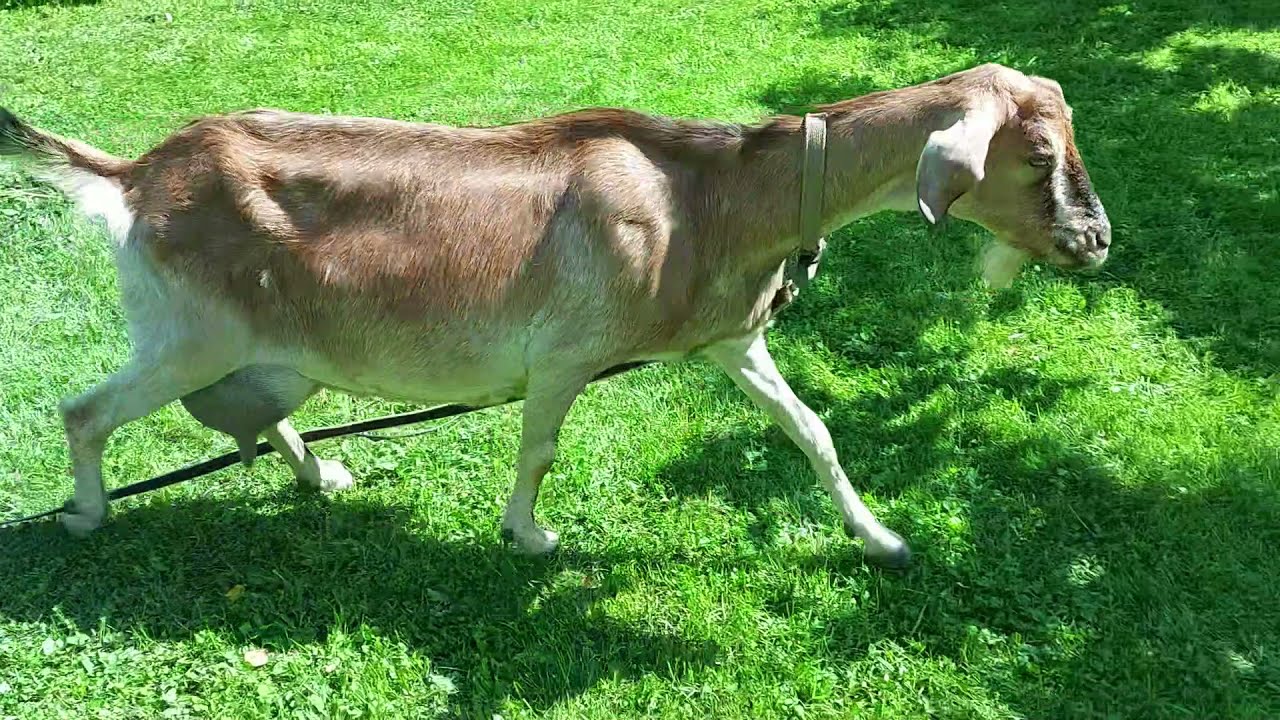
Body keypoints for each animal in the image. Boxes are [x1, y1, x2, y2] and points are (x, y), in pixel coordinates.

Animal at [0, 63, 1110, 569]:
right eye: (1034, 157)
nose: (1094, 242)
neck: (708, 198)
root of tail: (137, 176)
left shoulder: (730, 341)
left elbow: (813, 433)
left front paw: (879, 538)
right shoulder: (568, 353)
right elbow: (539, 447)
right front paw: (529, 536)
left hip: (279, 349)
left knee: (267, 415)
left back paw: (322, 474)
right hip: (191, 335)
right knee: (84, 412)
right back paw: (88, 512)